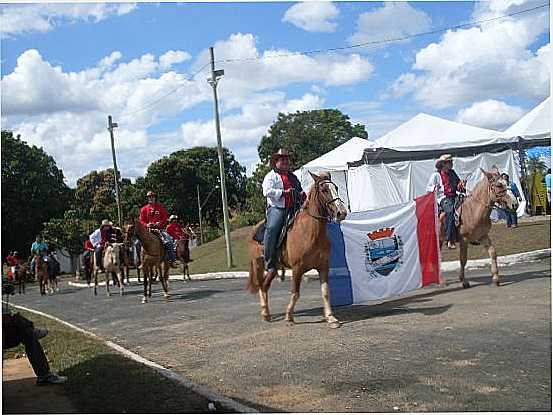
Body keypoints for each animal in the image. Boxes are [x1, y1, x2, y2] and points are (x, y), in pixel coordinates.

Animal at [248, 171, 348, 328]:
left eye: (336, 187)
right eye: (324, 190)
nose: (341, 213)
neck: (311, 231)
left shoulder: (323, 266)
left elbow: (325, 292)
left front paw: (331, 318)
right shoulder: (297, 268)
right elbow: (295, 293)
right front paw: (289, 317)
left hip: (274, 268)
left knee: (264, 285)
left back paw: (266, 313)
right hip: (259, 264)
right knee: (261, 285)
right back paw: (264, 313)